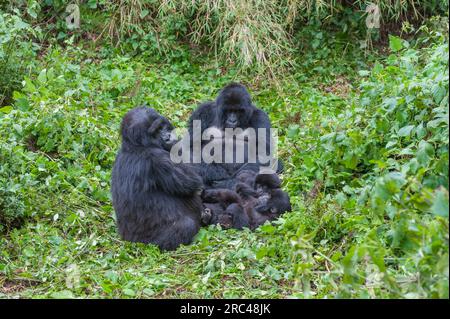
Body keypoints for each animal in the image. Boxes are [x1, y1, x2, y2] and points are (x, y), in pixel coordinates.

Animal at [110, 107, 204, 252]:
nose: (168, 137)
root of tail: (128, 241)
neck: (134, 145)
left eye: (161, 127)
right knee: (186, 225)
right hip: (148, 243)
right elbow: (192, 180)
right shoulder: (158, 158)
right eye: (155, 132)